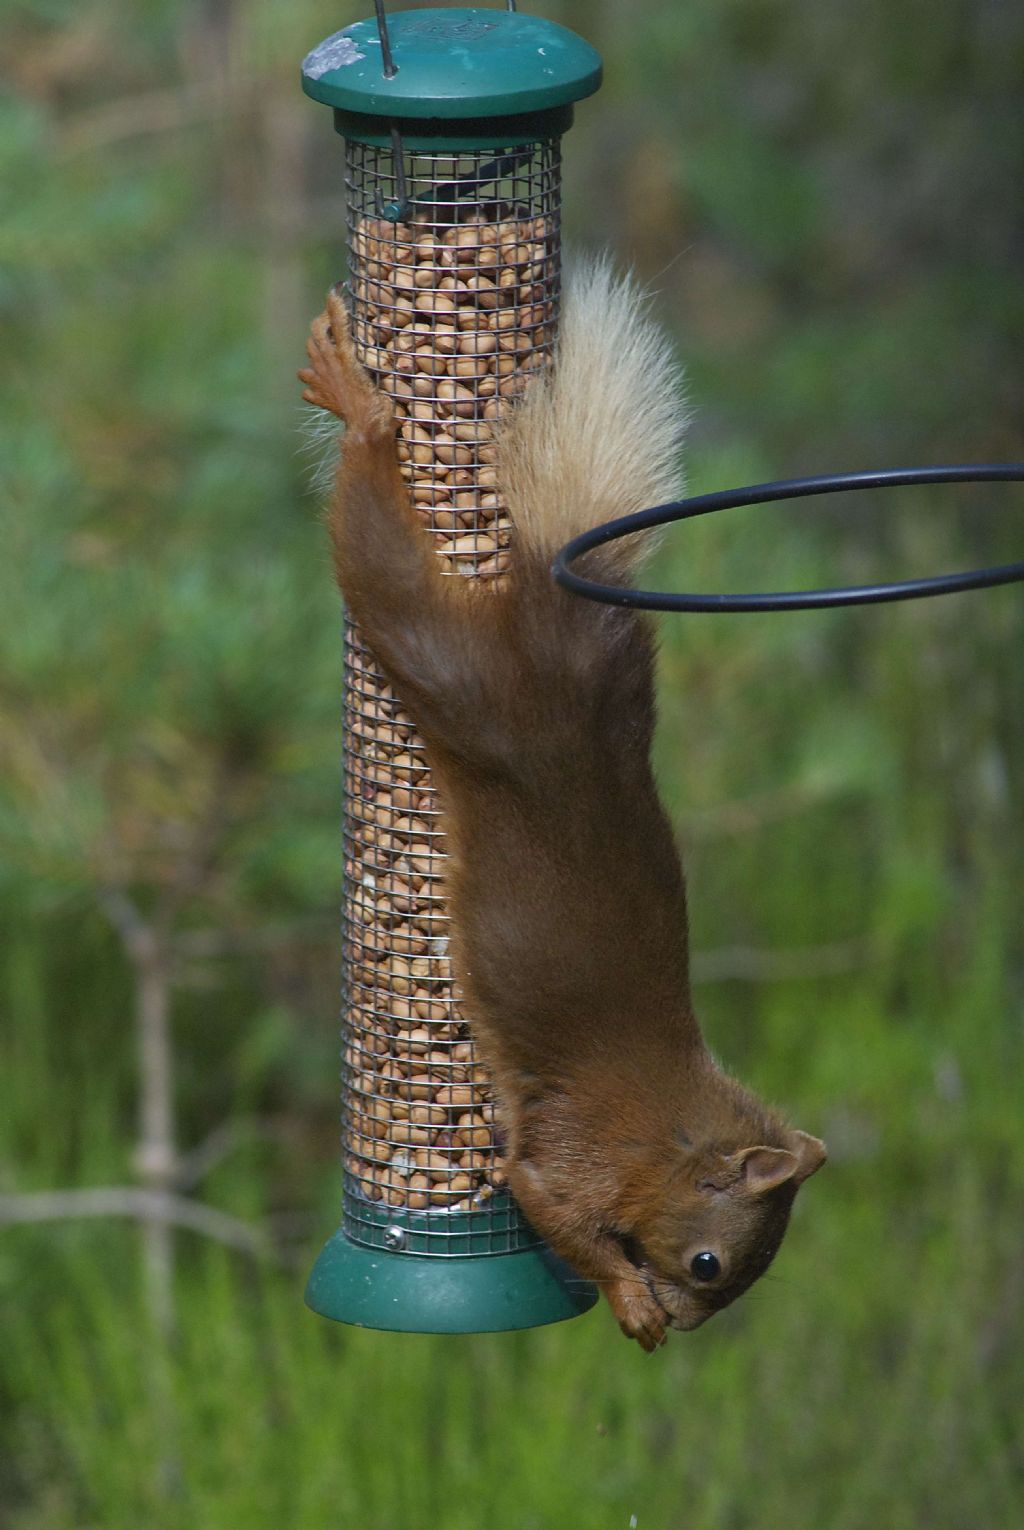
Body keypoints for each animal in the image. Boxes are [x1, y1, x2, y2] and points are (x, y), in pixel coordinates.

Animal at [300, 263, 826, 1352]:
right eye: (709, 1262)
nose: (691, 1324)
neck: (675, 1133)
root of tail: (565, 643)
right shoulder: (574, 1157)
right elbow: (554, 1210)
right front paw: (629, 1301)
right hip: (461, 681)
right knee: (386, 574)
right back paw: (361, 411)